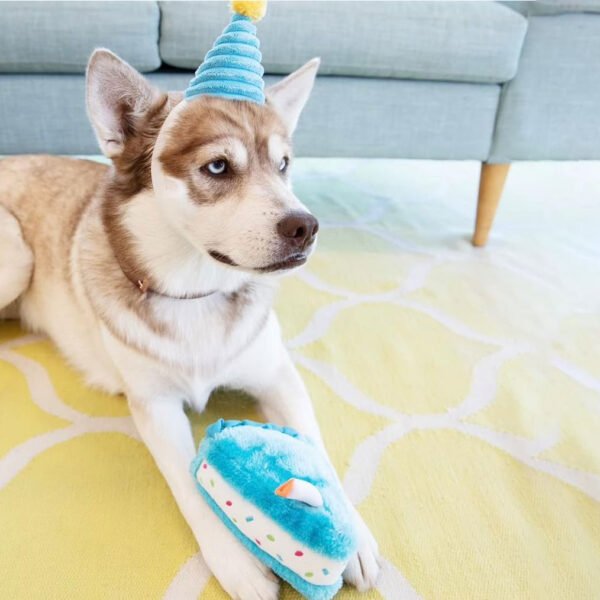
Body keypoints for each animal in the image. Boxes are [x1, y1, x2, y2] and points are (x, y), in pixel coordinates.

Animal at [1, 49, 380, 596]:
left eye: (283, 165)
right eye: (217, 166)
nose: (306, 226)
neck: (196, 293)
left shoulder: (278, 376)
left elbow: (318, 449)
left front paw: (354, 534)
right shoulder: (155, 406)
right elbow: (187, 480)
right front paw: (236, 561)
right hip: (15, 256)